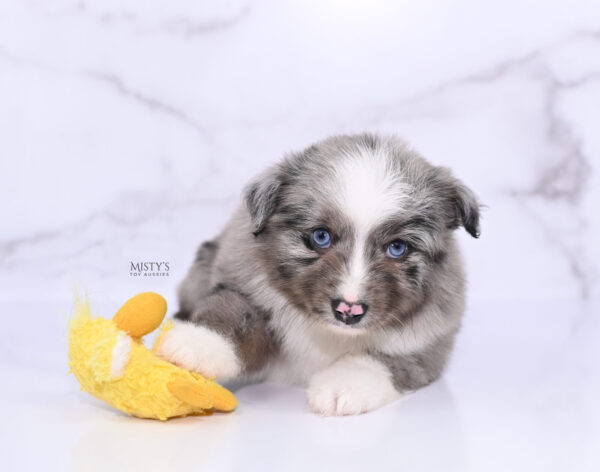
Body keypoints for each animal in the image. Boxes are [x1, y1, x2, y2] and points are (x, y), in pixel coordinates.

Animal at [157, 134, 480, 416]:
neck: (328, 335)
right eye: (321, 237)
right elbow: (235, 315)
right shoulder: (245, 287)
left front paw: (345, 386)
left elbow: (380, 359)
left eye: (398, 248)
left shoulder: (428, 343)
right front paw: (198, 343)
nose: (349, 310)